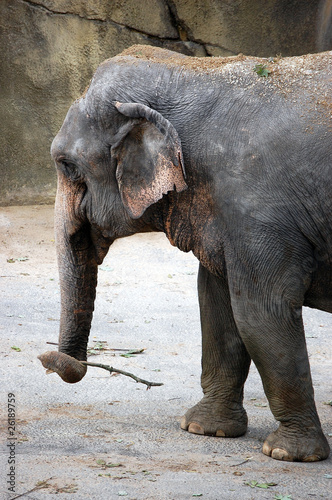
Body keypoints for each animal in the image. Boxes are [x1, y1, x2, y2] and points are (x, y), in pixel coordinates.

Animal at [39, 45, 332, 462]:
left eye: (66, 164)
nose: (51, 361)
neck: (190, 69)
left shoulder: (258, 214)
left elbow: (261, 312)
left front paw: (289, 453)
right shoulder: (225, 217)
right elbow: (216, 305)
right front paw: (204, 429)